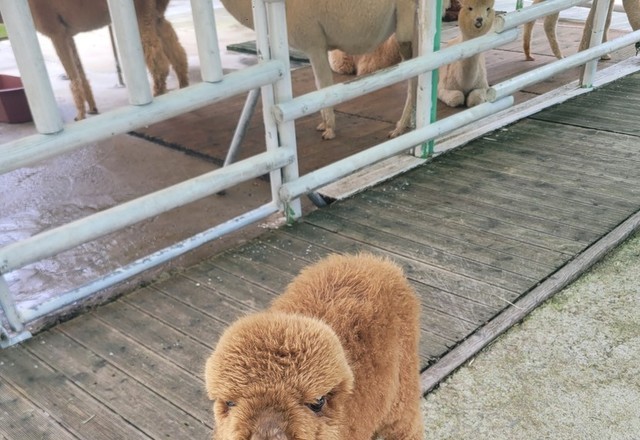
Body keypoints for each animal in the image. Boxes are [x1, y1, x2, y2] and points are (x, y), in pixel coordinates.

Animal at [28, 0, 189, 120]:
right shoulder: (67, 35)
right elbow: (80, 74)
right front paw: (91, 108)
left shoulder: (57, 34)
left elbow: (73, 77)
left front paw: (80, 115)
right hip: (153, 13)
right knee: (175, 51)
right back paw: (183, 86)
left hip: (139, 12)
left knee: (156, 56)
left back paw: (158, 93)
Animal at [219, 0, 418, 140]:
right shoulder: (314, 47)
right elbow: (318, 85)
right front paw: (323, 124)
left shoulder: (314, 43)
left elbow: (323, 85)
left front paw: (329, 129)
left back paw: (400, 127)